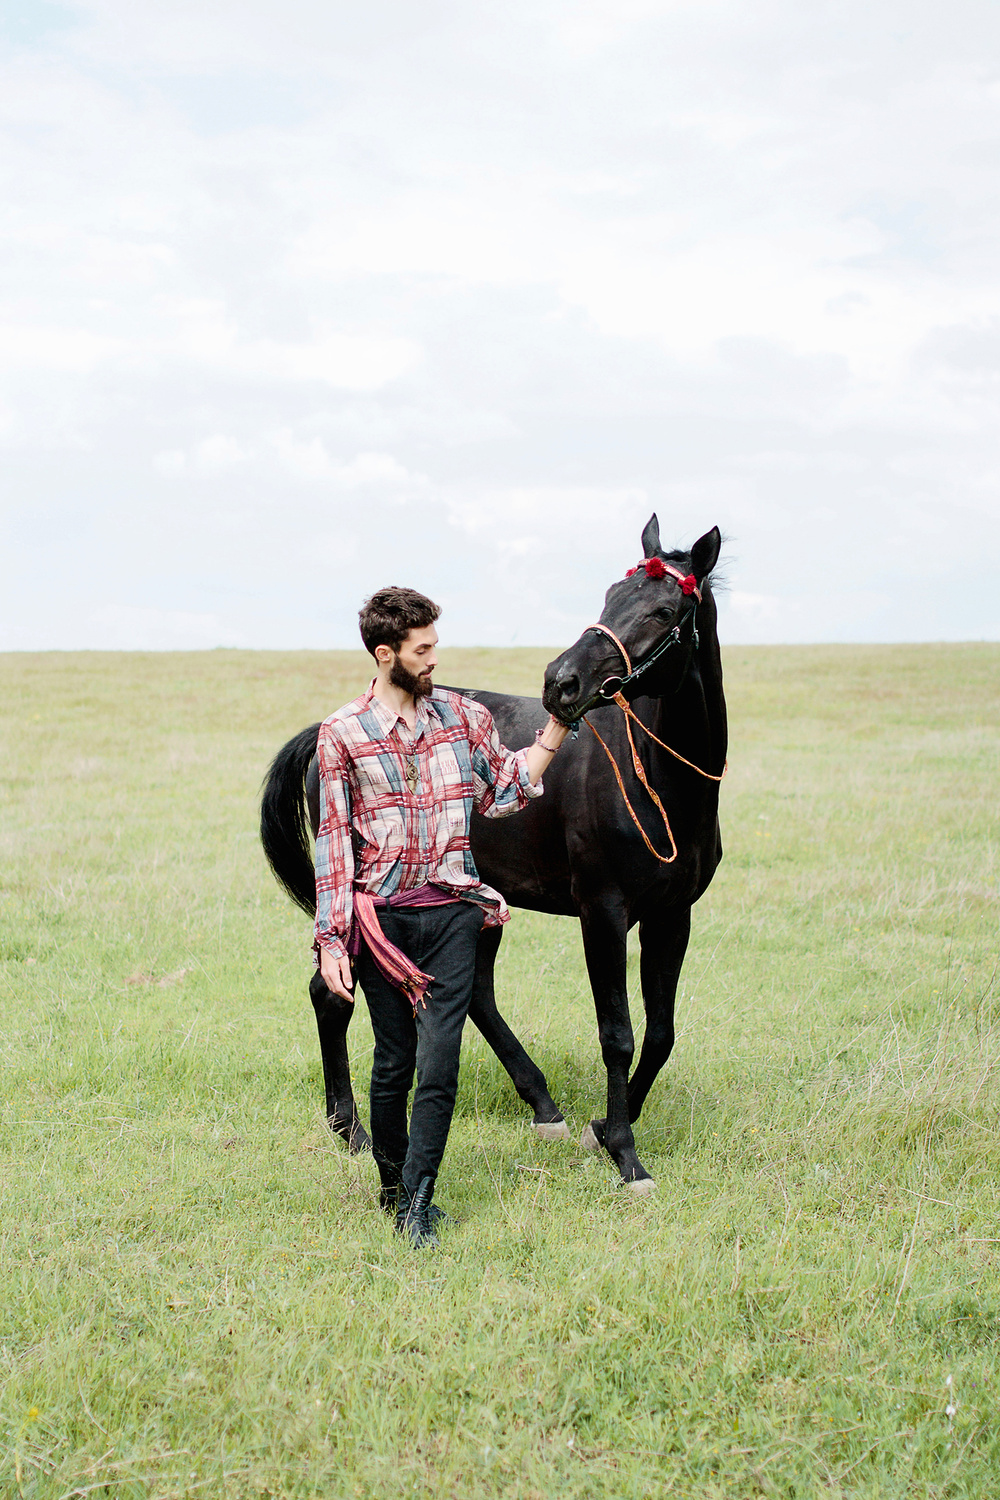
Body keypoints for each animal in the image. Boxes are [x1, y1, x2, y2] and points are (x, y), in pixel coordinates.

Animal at [262, 519, 722, 1194]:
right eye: (610, 596)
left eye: (664, 611)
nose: (562, 682)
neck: (660, 784)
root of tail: (325, 730)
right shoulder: (603, 911)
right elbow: (617, 1033)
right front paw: (626, 1153)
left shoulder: (673, 914)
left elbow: (659, 1033)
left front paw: (603, 1129)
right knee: (332, 991)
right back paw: (350, 1130)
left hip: (475, 895)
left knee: (474, 992)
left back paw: (544, 1106)